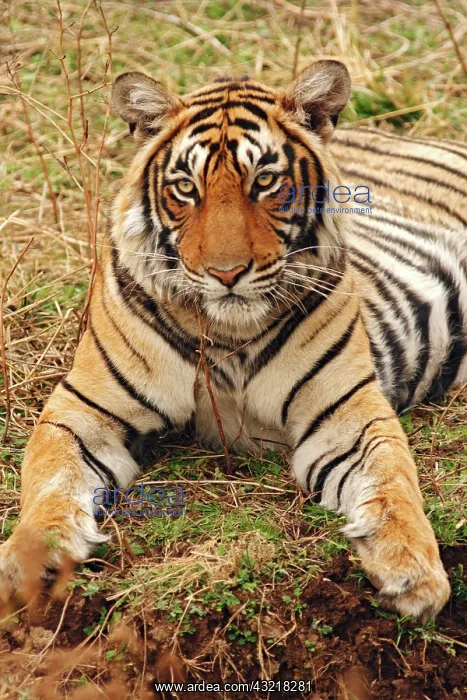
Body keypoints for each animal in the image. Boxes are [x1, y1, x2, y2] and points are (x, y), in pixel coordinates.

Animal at [1, 60, 466, 623]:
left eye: (264, 181)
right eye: (186, 187)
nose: (226, 274)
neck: (228, 334)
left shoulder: (347, 414)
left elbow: (393, 479)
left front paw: (412, 569)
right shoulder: (83, 410)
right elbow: (48, 478)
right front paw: (30, 563)